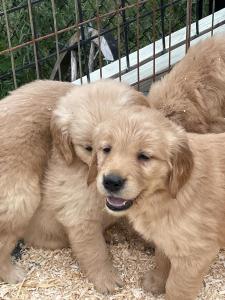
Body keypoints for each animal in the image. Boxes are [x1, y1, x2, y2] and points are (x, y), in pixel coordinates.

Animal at [89, 106, 225, 300]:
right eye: (107, 149)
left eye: (144, 156)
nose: (111, 181)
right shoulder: (165, 236)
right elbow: (162, 259)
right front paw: (156, 282)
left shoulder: (196, 254)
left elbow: (177, 289)